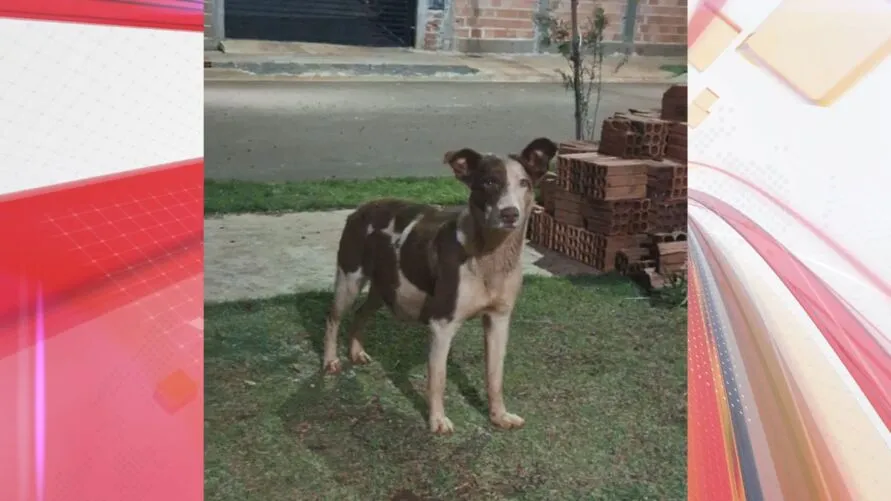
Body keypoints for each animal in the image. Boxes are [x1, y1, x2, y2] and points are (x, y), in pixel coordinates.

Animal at [320, 137, 556, 434]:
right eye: (489, 182)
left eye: (524, 182)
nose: (510, 213)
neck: (489, 256)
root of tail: (362, 207)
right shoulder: (442, 324)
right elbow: (438, 378)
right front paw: (437, 420)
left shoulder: (499, 320)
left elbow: (495, 376)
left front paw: (499, 415)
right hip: (349, 280)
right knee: (333, 317)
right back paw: (330, 360)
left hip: (386, 287)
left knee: (362, 312)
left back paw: (356, 352)